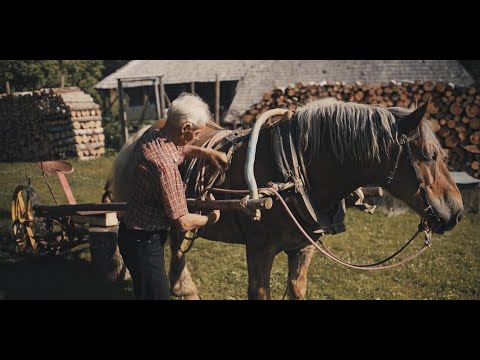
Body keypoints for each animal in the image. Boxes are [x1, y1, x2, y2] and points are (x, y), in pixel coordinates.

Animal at [108, 97, 462, 300]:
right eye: (428, 155)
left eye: (441, 154)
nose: (456, 212)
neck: (293, 171)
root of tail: (141, 133)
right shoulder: (259, 250)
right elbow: (259, 292)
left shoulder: (304, 247)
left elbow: (296, 289)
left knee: (178, 243)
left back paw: (183, 289)